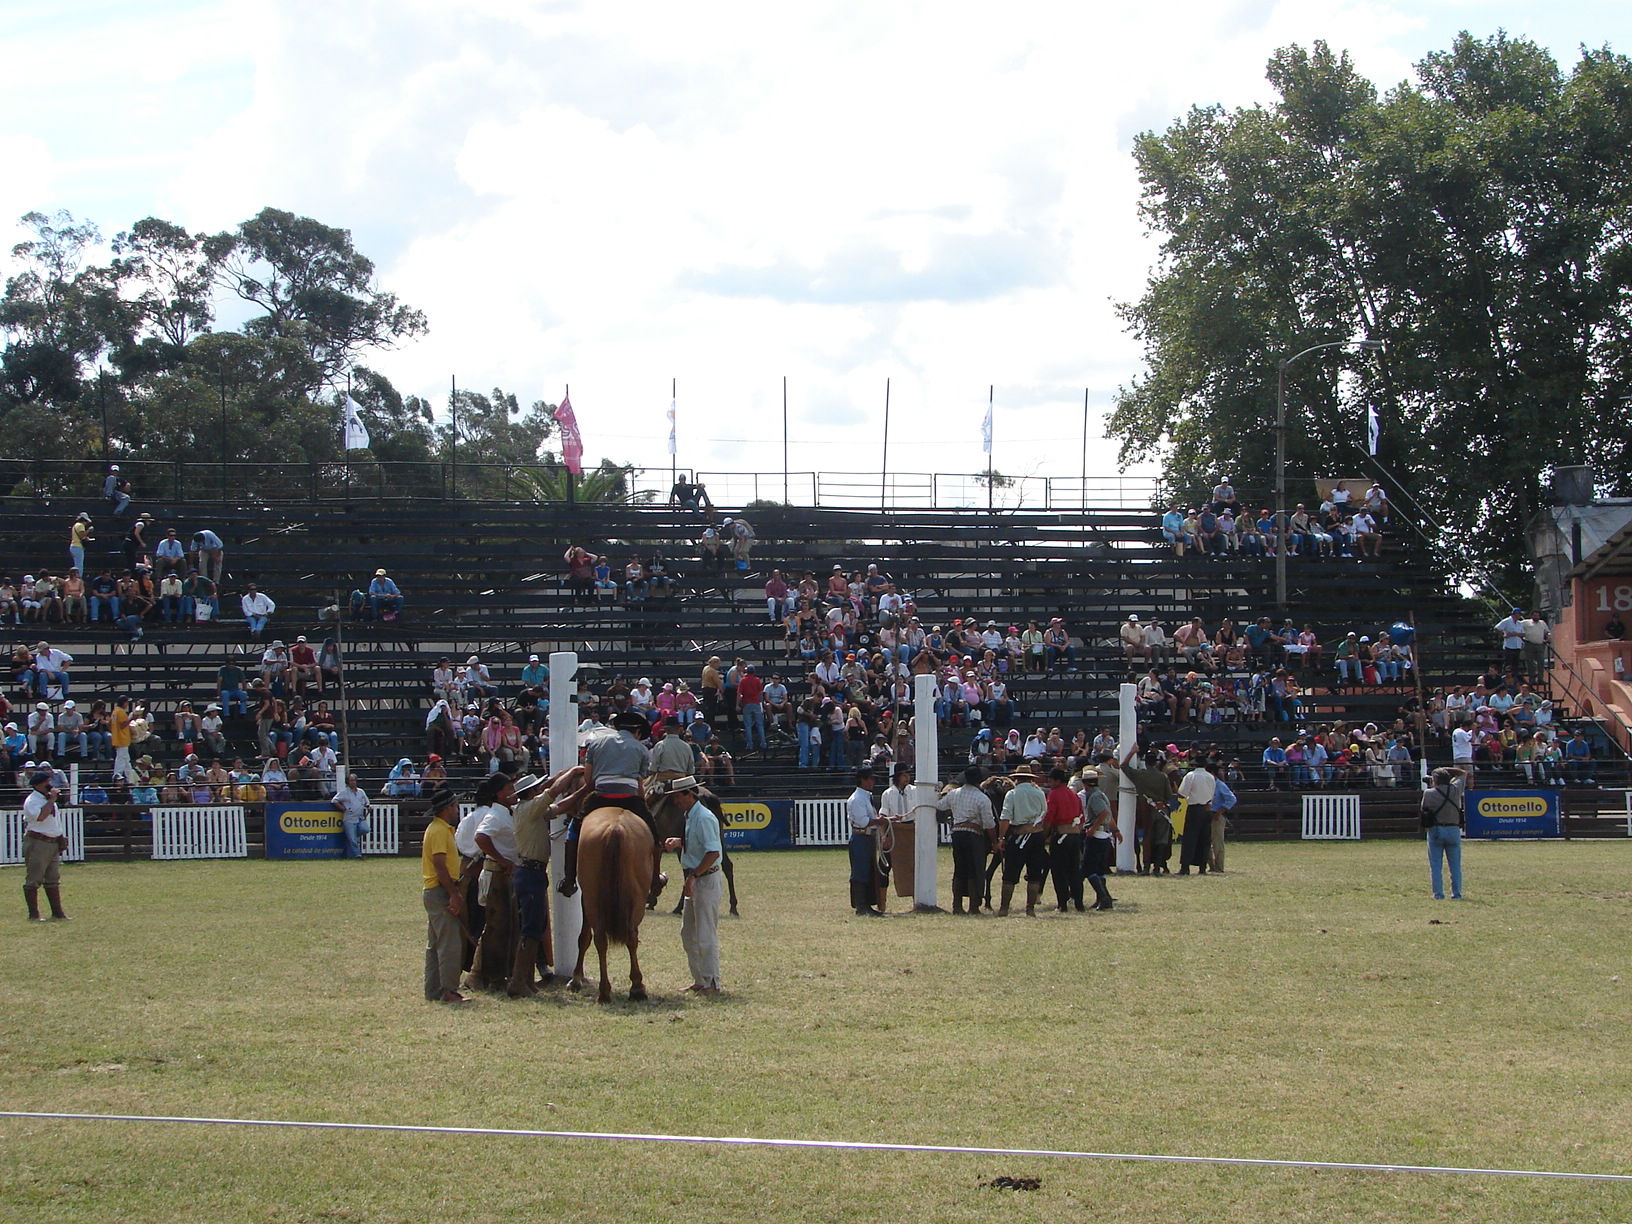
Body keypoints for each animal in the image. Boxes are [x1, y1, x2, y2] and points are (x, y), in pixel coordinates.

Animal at [571, 809, 652, 998]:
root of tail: (615, 829)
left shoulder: (585, 899)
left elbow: (584, 937)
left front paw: (576, 978)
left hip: (592, 898)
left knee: (600, 939)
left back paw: (605, 991)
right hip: (637, 900)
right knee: (630, 937)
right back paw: (636, 987)